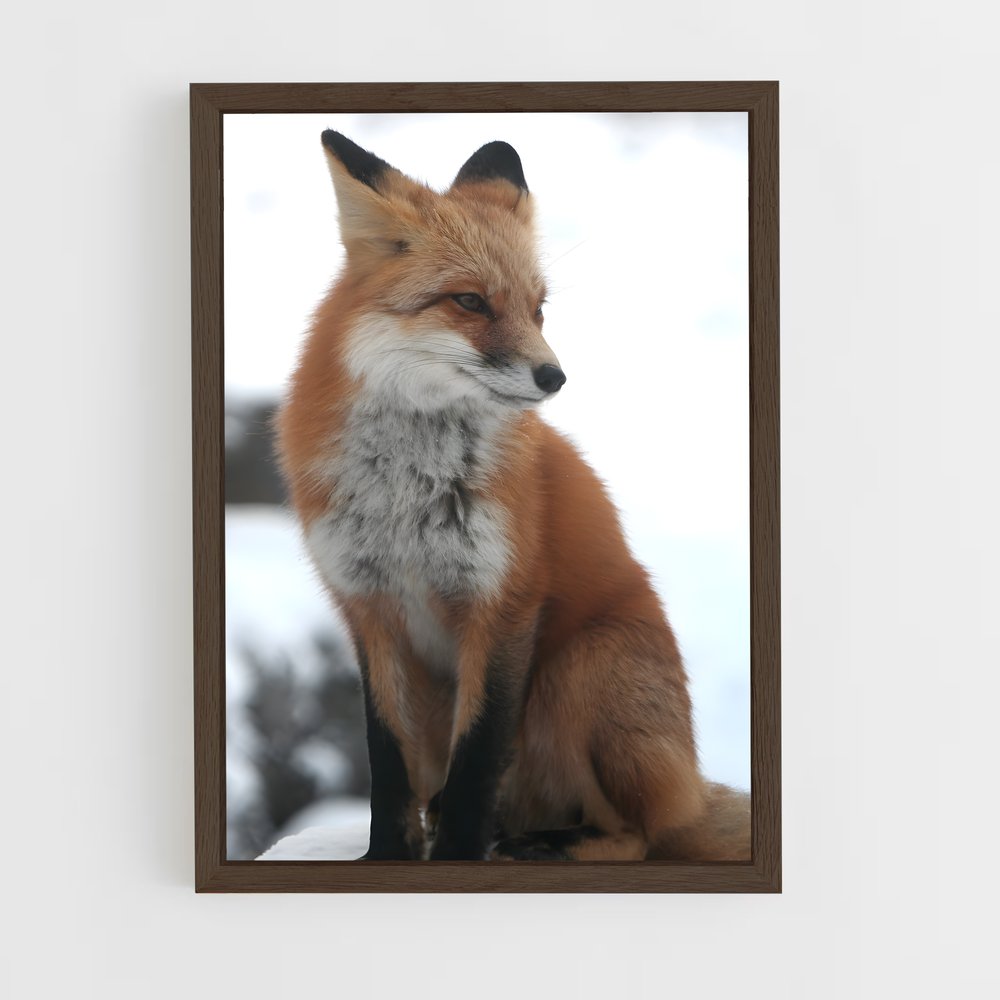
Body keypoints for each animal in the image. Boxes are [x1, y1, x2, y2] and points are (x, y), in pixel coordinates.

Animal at [276, 130, 750, 862]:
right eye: (470, 302)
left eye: (539, 309)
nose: (554, 377)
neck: (407, 496)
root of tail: (691, 788)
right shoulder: (370, 608)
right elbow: (388, 762)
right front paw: (387, 857)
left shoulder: (502, 605)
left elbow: (476, 761)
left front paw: (456, 857)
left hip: (579, 668)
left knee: (638, 836)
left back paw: (543, 843)